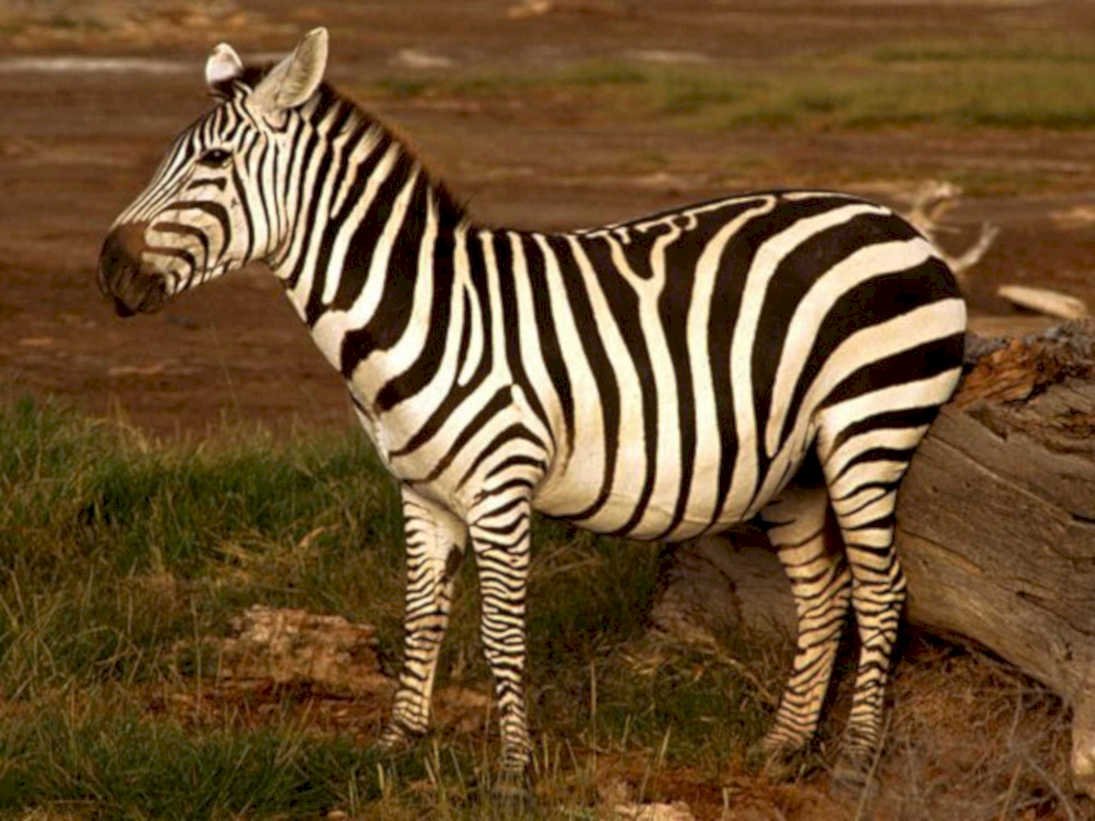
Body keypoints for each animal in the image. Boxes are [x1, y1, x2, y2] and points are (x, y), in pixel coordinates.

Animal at [98, 28, 966, 792]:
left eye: (213, 161)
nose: (108, 269)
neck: (421, 313)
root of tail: (895, 223)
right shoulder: (420, 493)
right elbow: (421, 616)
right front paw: (395, 747)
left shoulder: (499, 485)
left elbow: (501, 631)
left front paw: (513, 770)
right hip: (795, 466)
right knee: (824, 591)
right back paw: (783, 746)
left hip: (868, 429)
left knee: (881, 592)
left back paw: (853, 759)